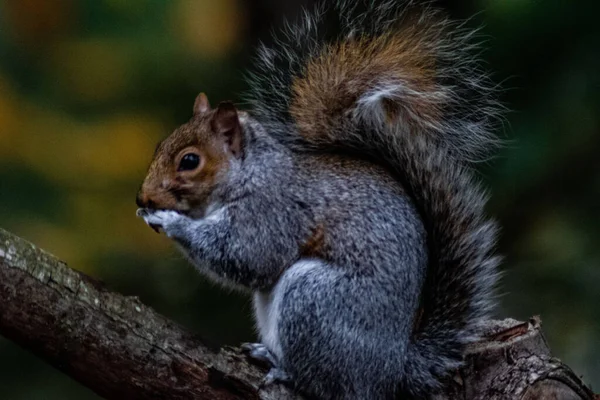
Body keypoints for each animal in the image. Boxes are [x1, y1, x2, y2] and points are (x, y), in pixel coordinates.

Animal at [135, 1, 502, 398]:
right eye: (159, 145)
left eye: (190, 161)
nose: (142, 195)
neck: (251, 173)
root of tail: (392, 371)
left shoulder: (271, 212)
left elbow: (247, 257)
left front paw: (170, 220)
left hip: (314, 302)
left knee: (328, 384)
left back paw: (286, 371)